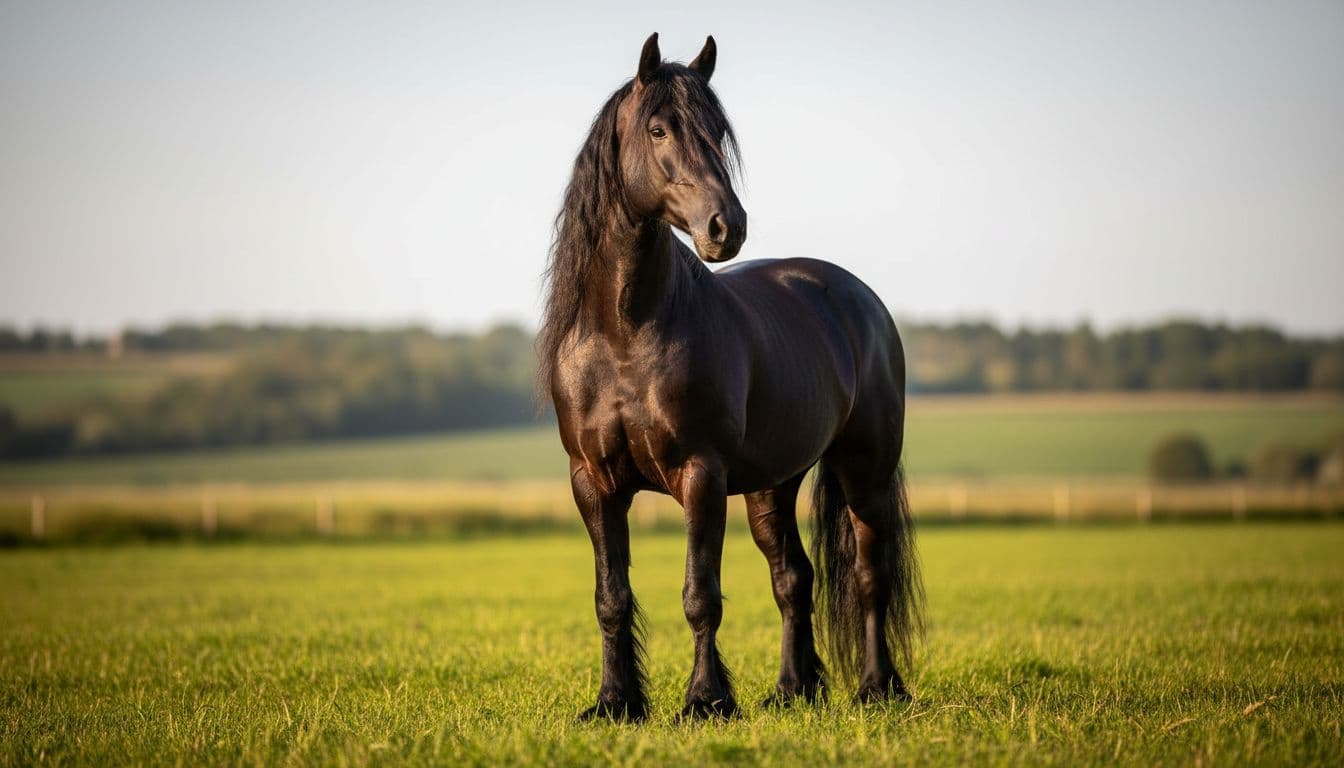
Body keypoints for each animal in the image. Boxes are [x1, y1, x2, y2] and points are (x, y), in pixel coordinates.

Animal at [540, 33, 924, 721]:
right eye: (659, 129)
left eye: (718, 132)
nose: (727, 226)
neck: (625, 331)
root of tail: (857, 298)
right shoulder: (593, 481)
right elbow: (611, 596)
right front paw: (615, 702)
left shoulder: (702, 475)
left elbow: (701, 594)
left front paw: (705, 701)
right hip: (772, 484)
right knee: (794, 577)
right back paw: (792, 690)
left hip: (865, 471)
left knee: (869, 575)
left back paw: (878, 687)